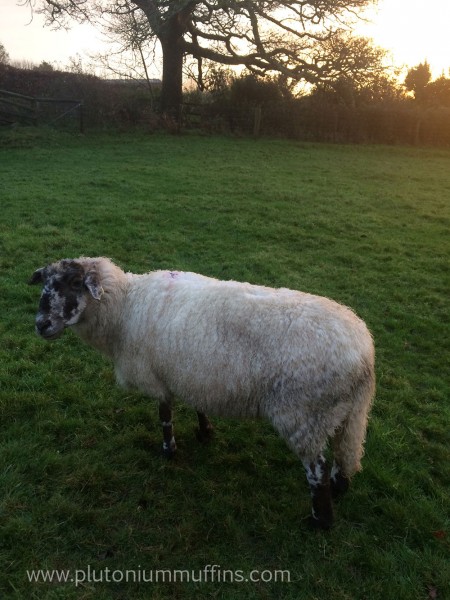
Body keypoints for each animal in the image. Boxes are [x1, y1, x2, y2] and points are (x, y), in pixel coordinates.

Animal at [31, 255, 374, 528]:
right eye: (44, 284)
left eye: (76, 282)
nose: (40, 325)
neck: (126, 308)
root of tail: (363, 354)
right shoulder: (193, 373)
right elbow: (197, 405)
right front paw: (205, 431)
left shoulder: (158, 375)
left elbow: (165, 415)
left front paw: (169, 451)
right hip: (349, 413)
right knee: (346, 452)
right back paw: (340, 487)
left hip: (304, 415)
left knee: (317, 469)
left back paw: (319, 521)